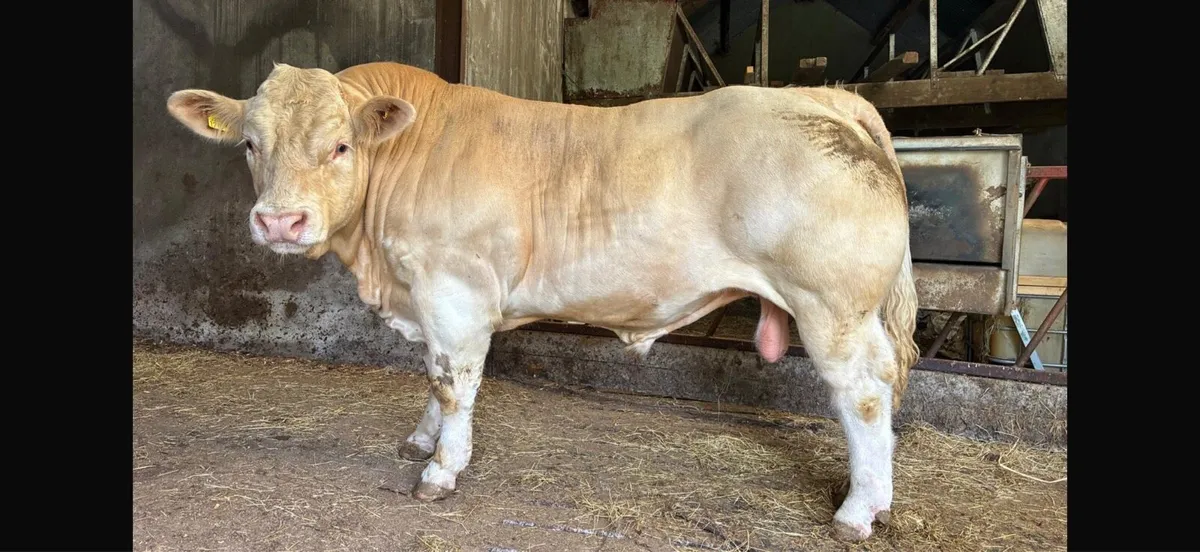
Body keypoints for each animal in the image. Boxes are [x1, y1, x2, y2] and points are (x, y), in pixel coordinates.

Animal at [165, 61, 919, 542]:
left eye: (341, 145)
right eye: (250, 144)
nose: (278, 223)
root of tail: (822, 97)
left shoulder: (454, 288)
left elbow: (455, 381)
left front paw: (442, 469)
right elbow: (432, 379)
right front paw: (421, 441)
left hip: (832, 307)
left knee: (863, 394)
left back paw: (857, 511)